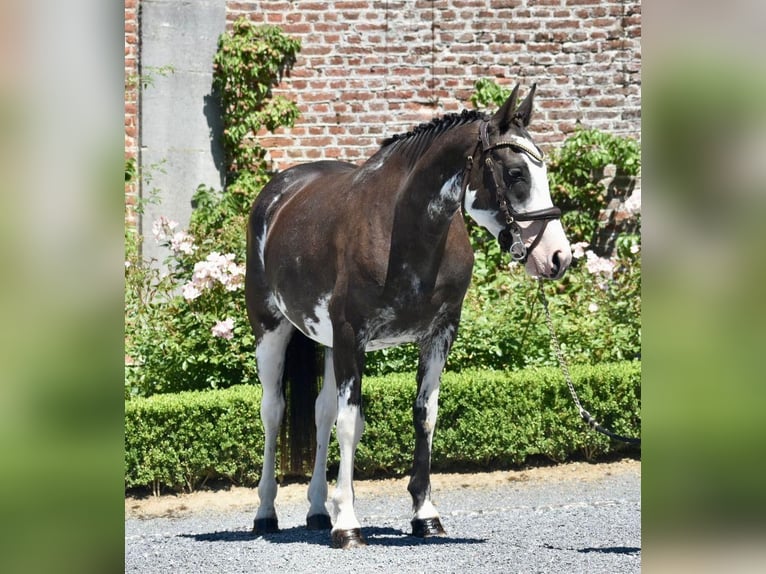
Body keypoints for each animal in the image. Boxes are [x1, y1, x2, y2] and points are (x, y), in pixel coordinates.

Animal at [245, 83, 572, 549]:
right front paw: (349, 524)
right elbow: (350, 422)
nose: (558, 257)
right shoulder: (351, 336)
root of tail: (277, 194)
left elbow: (424, 414)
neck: (404, 232)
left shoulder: (439, 334)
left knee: (321, 411)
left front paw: (425, 514)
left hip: (325, 341)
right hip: (270, 329)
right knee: (273, 411)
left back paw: (318, 510)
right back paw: (266, 513)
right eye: (514, 173)